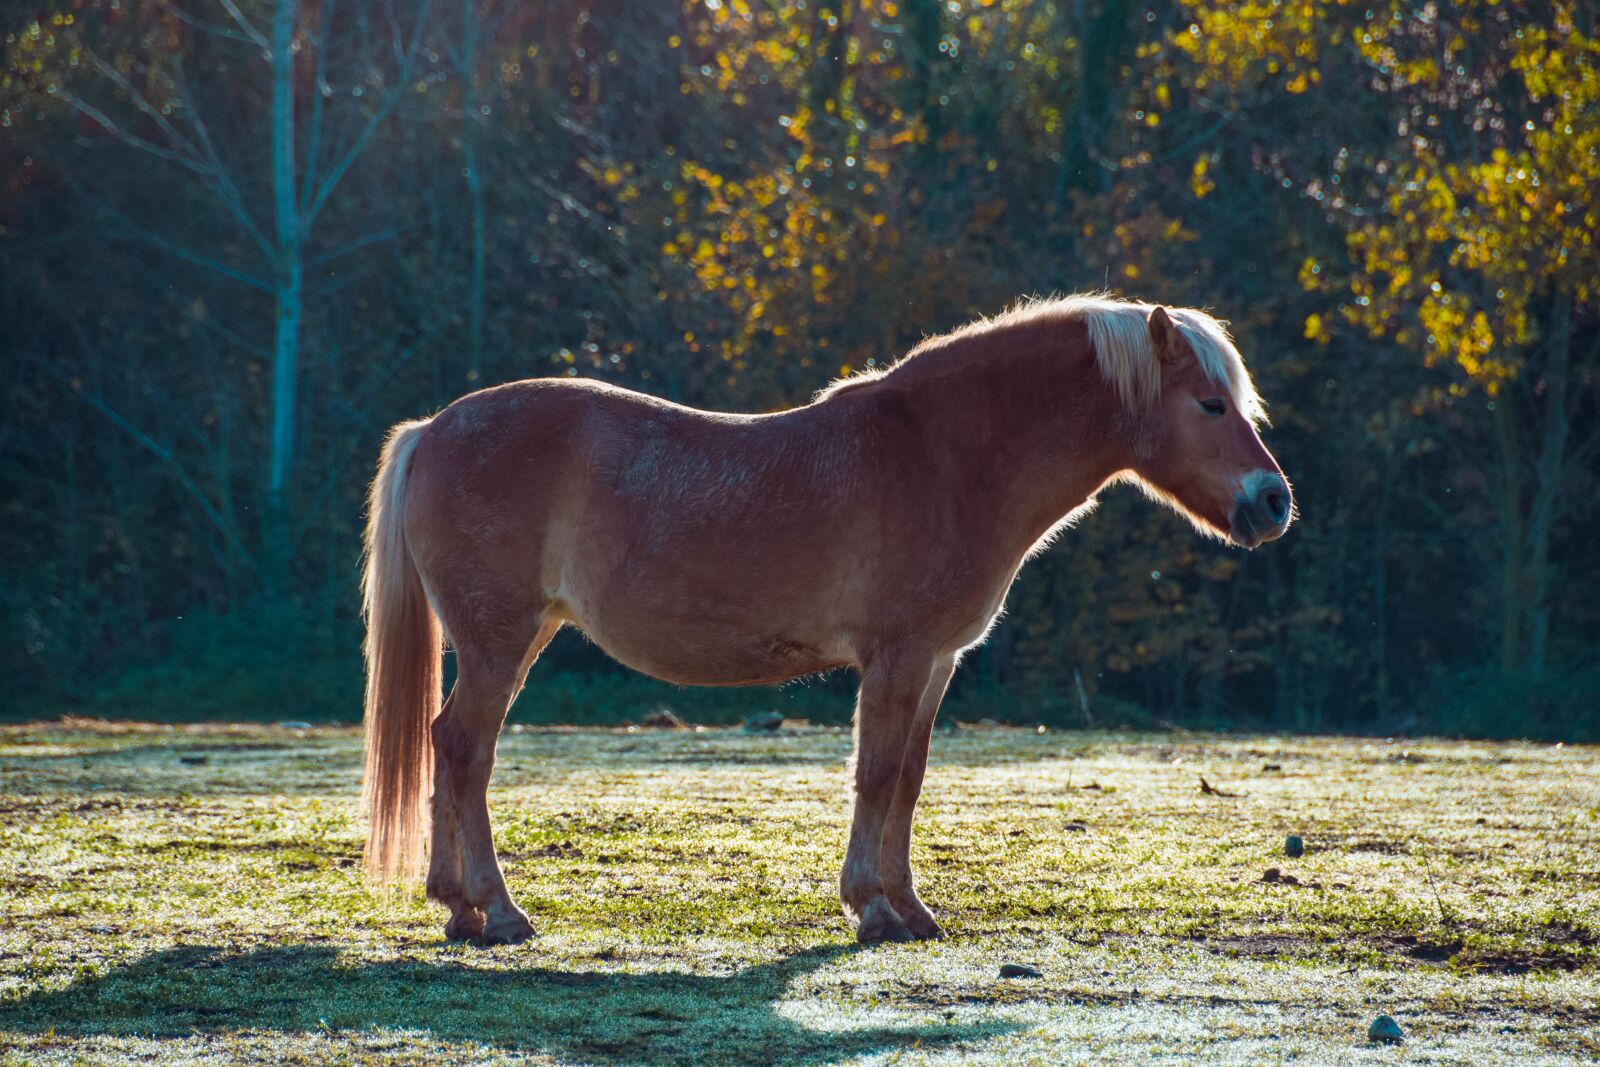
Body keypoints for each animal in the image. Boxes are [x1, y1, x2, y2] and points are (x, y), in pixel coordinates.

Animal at [361, 293, 1294, 945]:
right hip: (500, 641)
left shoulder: (936, 662)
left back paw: (457, 910)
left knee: (446, 744)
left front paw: (911, 907)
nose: (1273, 503)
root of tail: (433, 428)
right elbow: (875, 773)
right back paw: (498, 910)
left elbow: (909, 777)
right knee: (466, 748)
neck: (943, 457)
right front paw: (871, 908)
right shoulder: (896, 656)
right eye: (1211, 405)